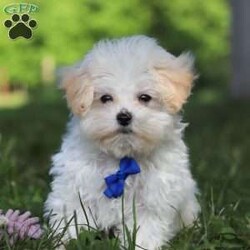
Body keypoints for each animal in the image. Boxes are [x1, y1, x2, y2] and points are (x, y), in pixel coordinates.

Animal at [45, 35, 200, 250]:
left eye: (144, 97)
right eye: (105, 98)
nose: (124, 116)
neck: (121, 157)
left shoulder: (152, 201)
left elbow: (144, 231)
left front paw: (140, 245)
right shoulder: (75, 189)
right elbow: (73, 220)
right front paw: (66, 242)